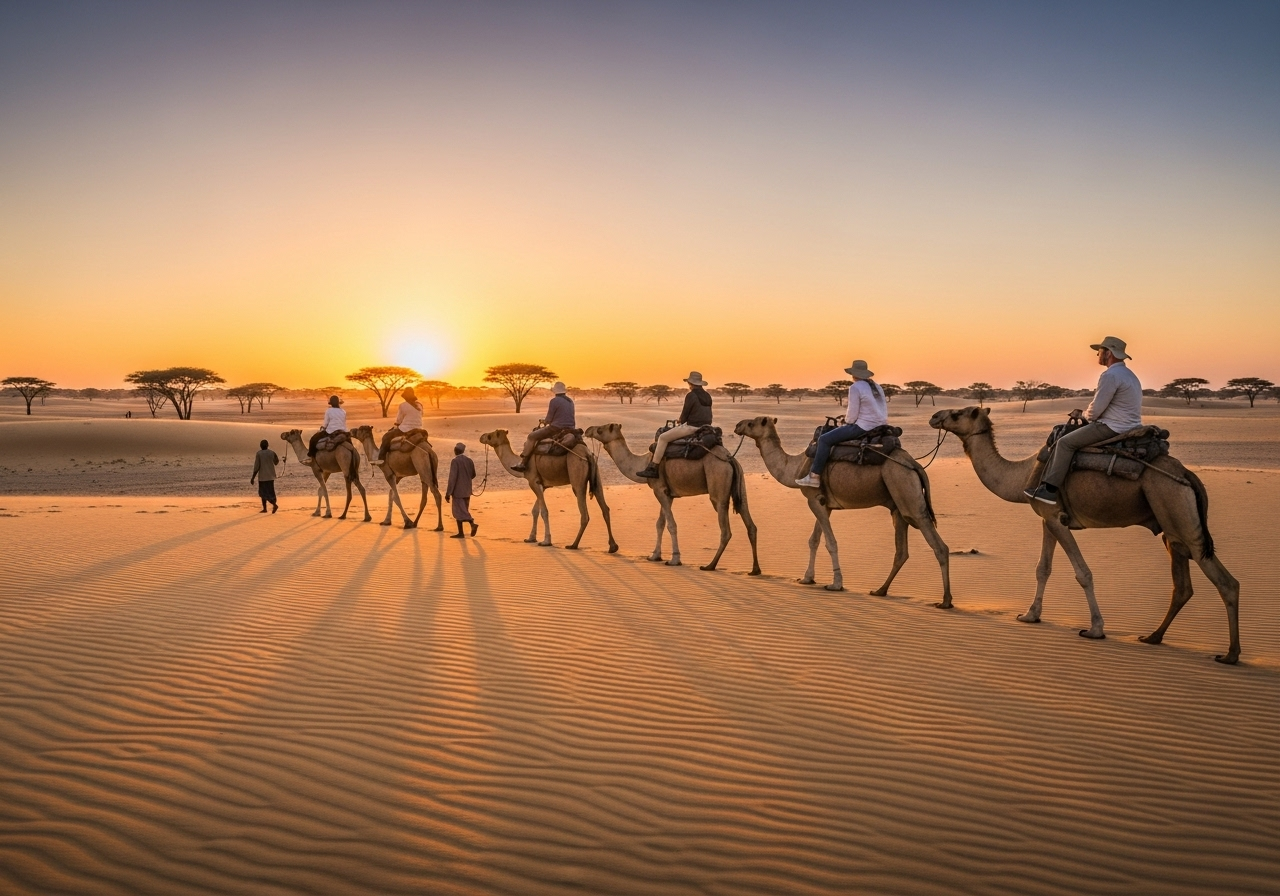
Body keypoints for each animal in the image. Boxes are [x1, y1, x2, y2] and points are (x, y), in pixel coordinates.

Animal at [478, 429, 618, 552]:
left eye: (490, 436)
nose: (481, 437)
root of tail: (587, 454)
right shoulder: (542, 485)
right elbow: (535, 510)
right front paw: (531, 538)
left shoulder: (533, 481)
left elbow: (544, 511)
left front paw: (546, 541)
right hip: (596, 475)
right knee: (605, 508)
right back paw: (612, 546)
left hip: (577, 476)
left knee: (584, 513)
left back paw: (573, 545)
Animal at [584, 423, 760, 575]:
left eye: (600, 429)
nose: (587, 430)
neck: (644, 463)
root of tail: (729, 458)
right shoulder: (666, 494)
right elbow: (660, 524)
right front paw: (654, 555)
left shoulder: (659, 490)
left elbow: (671, 525)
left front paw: (674, 559)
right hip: (740, 486)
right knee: (750, 523)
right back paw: (755, 570)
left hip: (718, 487)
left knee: (725, 530)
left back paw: (710, 565)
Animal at [733, 416, 952, 603]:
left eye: (751, 423)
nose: (737, 425)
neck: (795, 468)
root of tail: (914, 464)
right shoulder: (824, 503)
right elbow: (814, 540)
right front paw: (807, 578)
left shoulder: (813, 500)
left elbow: (831, 542)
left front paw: (836, 584)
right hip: (899, 505)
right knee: (902, 551)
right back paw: (880, 590)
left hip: (906, 491)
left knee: (938, 545)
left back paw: (945, 601)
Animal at [929, 407, 1240, 664]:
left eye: (957, 413)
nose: (934, 416)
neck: (1022, 475)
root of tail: (1187, 475)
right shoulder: (1048, 518)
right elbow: (1043, 568)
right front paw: (1030, 615)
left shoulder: (1056, 519)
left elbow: (1083, 573)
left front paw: (1095, 629)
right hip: (1171, 527)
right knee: (1183, 584)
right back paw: (1153, 637)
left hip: (1177, 509)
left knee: (1226, 582)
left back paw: (1230, 654)